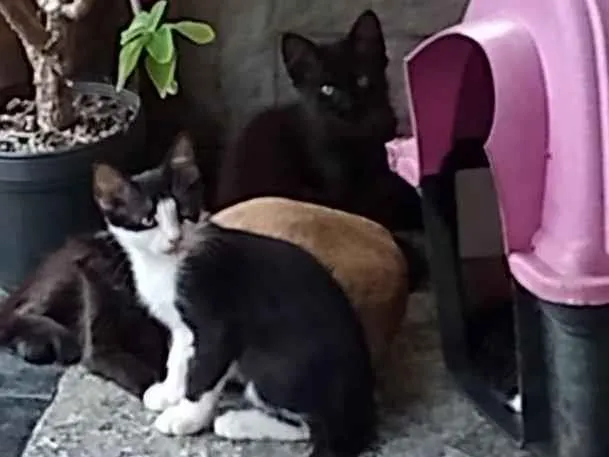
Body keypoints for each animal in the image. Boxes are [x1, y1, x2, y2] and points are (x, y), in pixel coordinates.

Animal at [90, 133, 376, 456]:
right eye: (148, 221)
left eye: (183, 212)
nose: (174, 239)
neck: (167, 267)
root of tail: (361, 397)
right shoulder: (184, 328)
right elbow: (179, 357)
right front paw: (169, 391)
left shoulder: (218, 325)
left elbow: (204, 374)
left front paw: (186, 417)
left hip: (274, 362)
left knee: (312, 425)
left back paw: (237, 422)